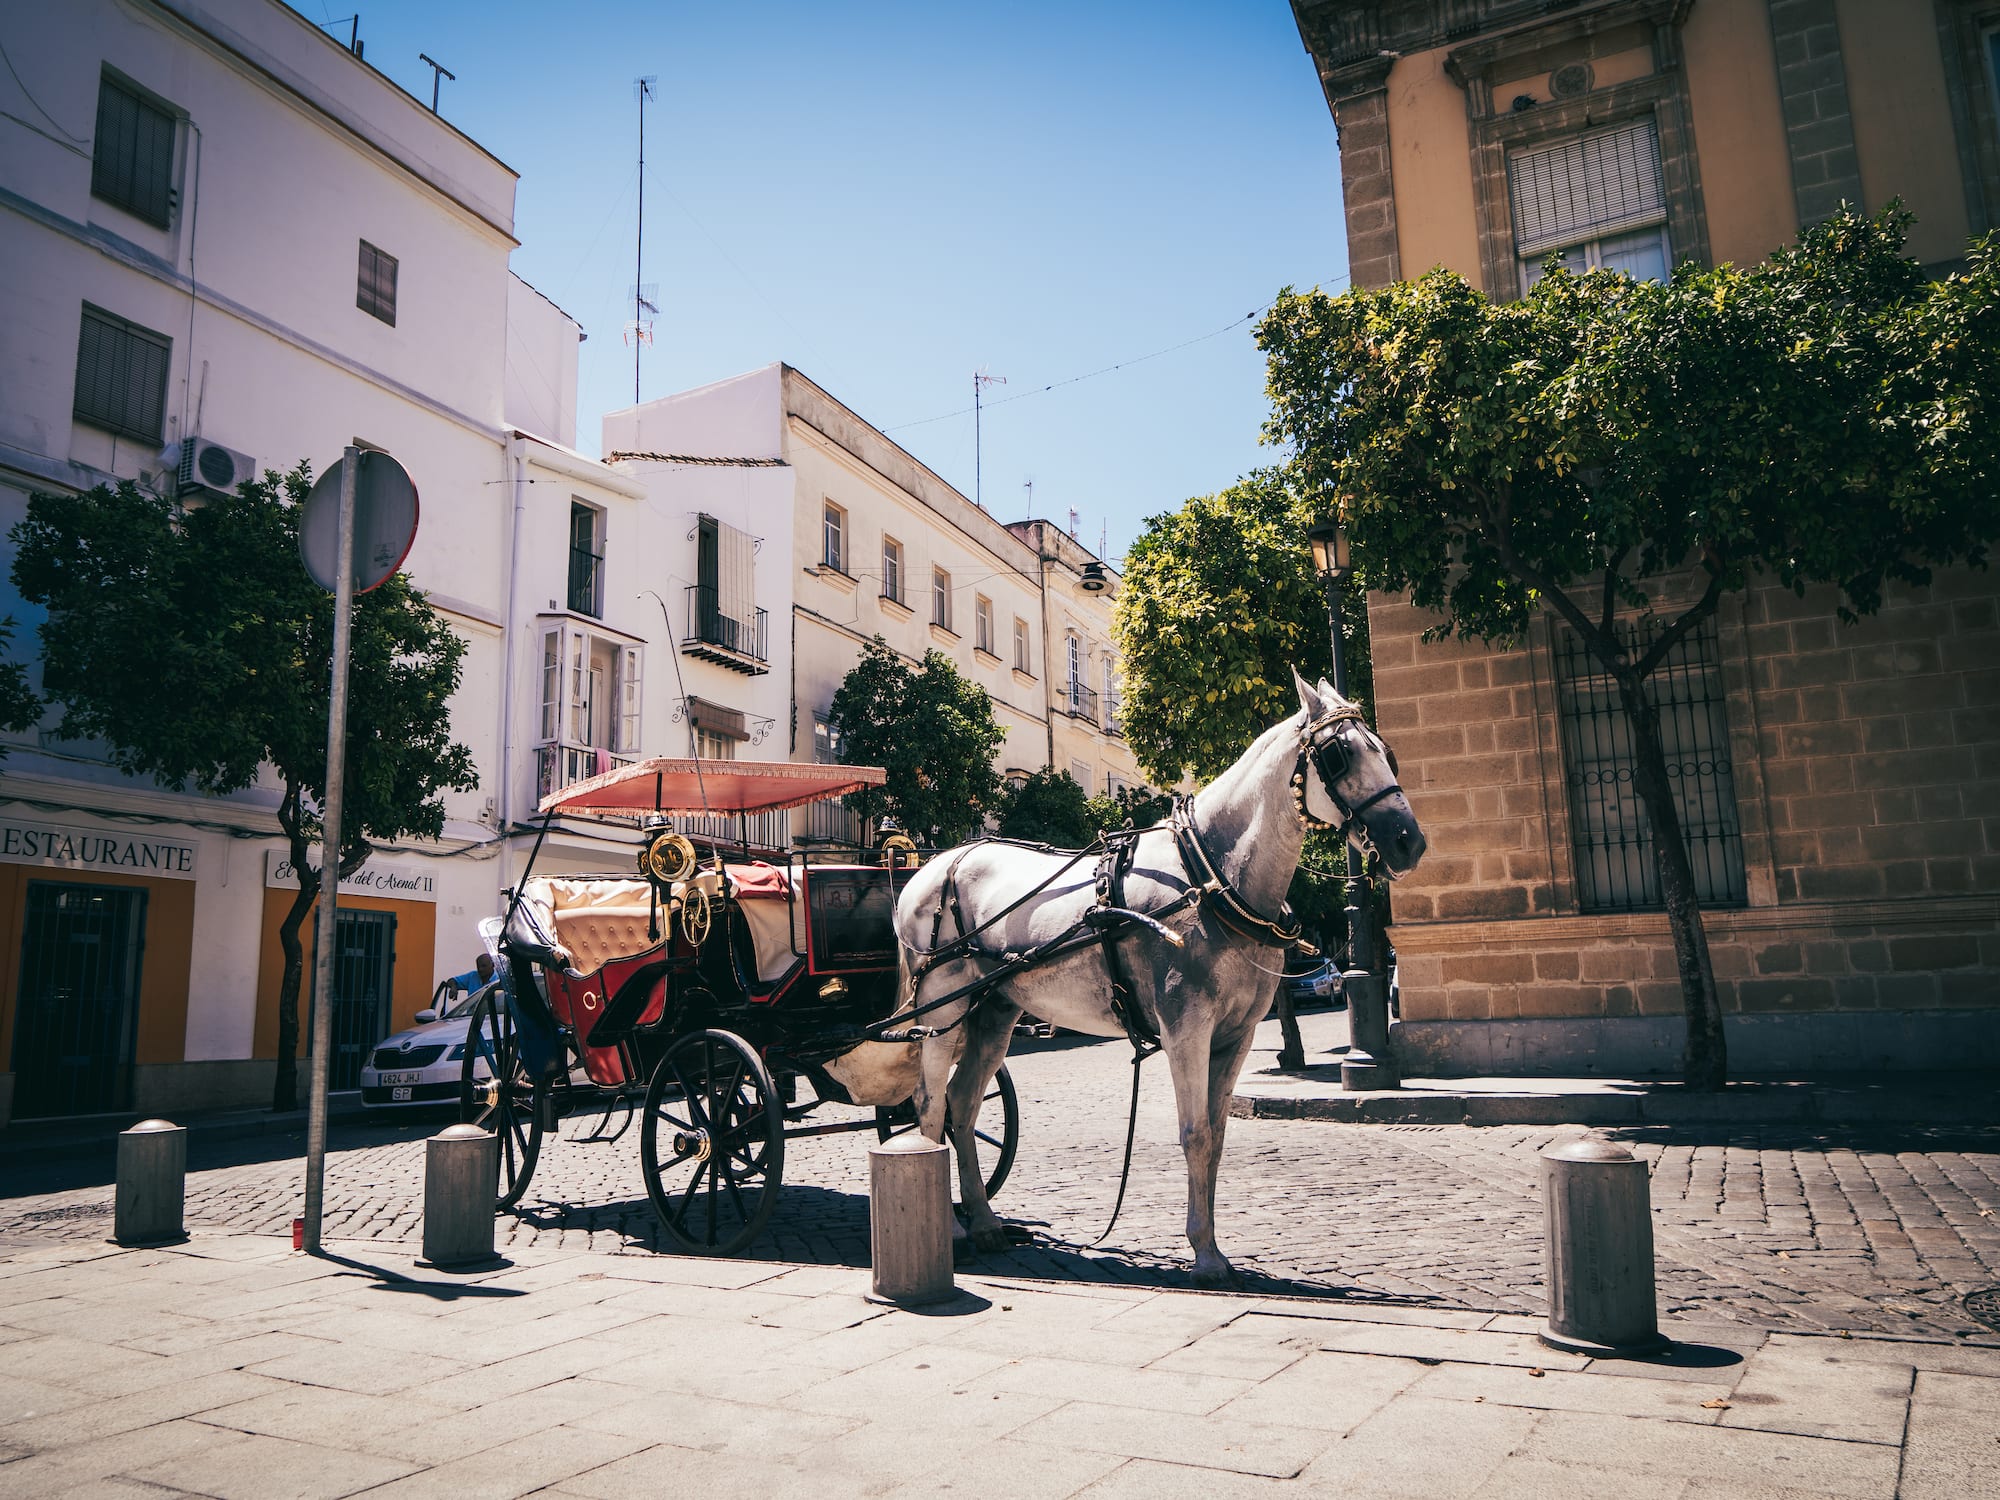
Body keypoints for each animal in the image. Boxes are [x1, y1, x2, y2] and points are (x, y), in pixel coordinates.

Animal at [891, 670, 1427, 1287]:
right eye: (1340, 756)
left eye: (1384, 751)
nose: (1410, 841)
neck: (1211, 877)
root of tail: (930, 866)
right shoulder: (1186, 1029)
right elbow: (1194, 1133)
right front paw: (1206, 1256)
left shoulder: (1236, 1035)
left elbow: (1216, 1136)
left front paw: (1212, 1246)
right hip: (941, 1010)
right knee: (930, 1103)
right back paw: (952, 1229)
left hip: (994, 1011)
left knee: (964, 1105)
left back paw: (981, 1221)